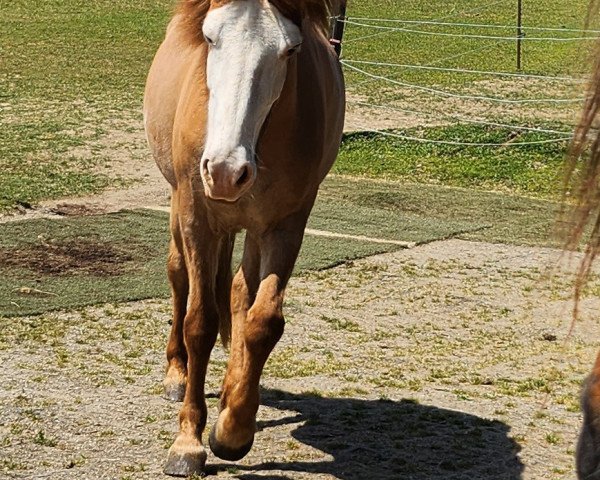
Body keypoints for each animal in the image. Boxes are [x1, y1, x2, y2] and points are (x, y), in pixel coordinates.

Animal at [143, 0, 344, 474]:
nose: (225, 171)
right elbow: (199, 322)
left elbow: (263, 321)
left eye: (290, 50)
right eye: (210, 37)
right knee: (179, 278)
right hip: (181, 208)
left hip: (251, 229)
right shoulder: (197, 217)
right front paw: (188, 443)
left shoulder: (285, 225)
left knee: (237, 292)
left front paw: (233, 429)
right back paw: (177, 373)